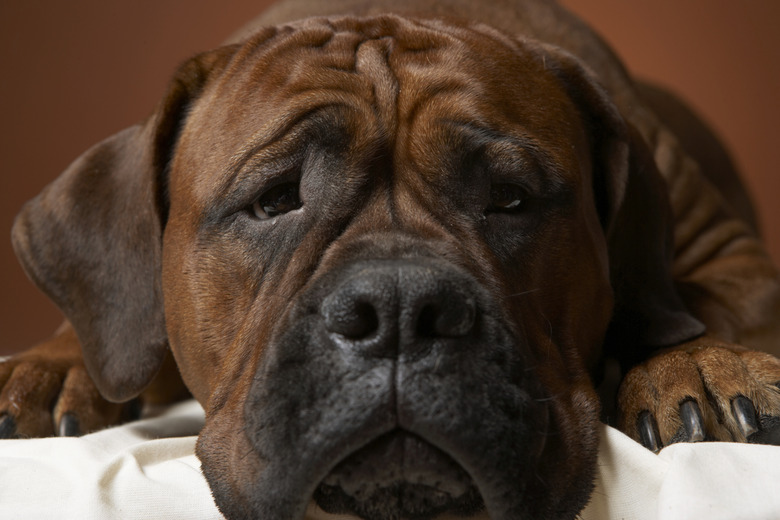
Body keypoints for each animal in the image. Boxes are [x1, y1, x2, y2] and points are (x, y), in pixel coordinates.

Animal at [1, 0, 780, 516]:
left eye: (510, 198)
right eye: (275, 200)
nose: (401, 311)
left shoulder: (739, 263)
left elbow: (680, 311)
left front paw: (697, 364)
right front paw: (53, 368)